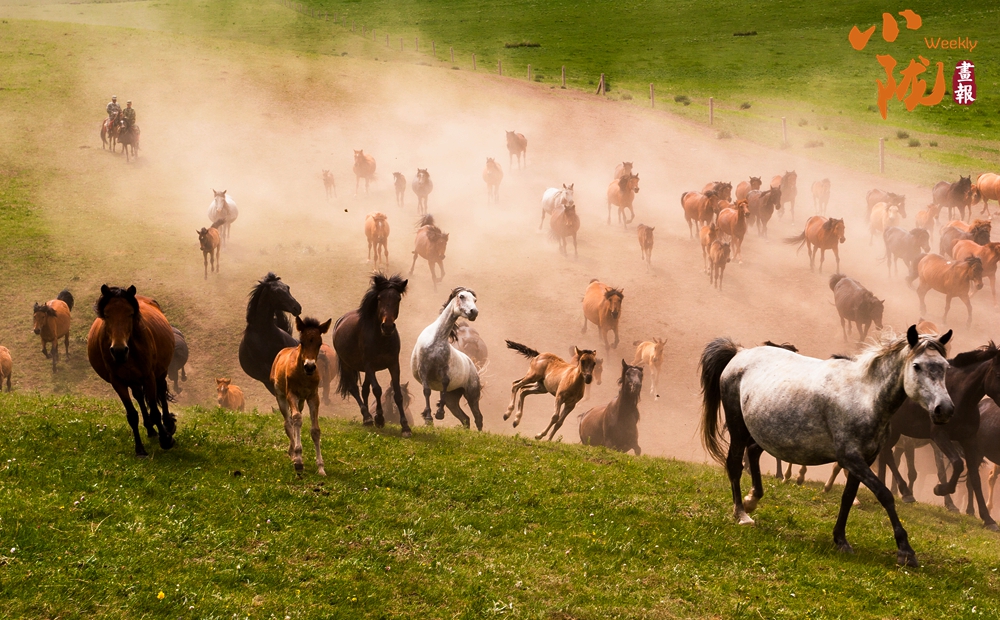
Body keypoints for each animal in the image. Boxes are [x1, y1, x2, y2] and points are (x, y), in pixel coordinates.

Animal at [87, 285, 178, 457]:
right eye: (106, 315)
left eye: (130, 314)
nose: (119, 351)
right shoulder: (118, 382)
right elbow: (132, 415)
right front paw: (140, 449)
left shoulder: (149, 377)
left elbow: (155, 410)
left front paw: (166, 439)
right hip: (134, 380)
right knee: (139, 397)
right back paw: (150, 429)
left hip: (159, 373)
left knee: (161, 393)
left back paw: (168, 425)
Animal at [333, 273, 411, 436]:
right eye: (380, 298)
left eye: (398, 299)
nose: (387, 326)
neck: (381, 337)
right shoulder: (369, 365)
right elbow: (377, 390)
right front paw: (379, 419)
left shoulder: (394, 364)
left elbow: (397, 394)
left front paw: (405, 427)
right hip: (347, 365)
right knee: (354, 389)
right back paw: (367, 417)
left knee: (364, 390)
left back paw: (367, 418)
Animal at [411, 288, 484, 429]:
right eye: (461, 296)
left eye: (475, 299)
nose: (474, 312)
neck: (435, 339)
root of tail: (472, 364)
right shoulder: (423, 370)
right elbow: (427, 391)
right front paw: (428, 419)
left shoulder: (443, 369)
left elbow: (445, 382)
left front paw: (439, 413)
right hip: (453, 399)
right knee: (465, 418)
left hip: (472, 395)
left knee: (478, 417)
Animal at [699, 326, 953, 566]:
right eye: (917, 366)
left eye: (945, 367)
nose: (945, 409)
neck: (865, 397)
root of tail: (740, 353)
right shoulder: (851, 458)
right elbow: (885, 494)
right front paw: (905, 551)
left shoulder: (864, 459)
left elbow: (848, 497)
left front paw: (840, 539)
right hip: (738, 428)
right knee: (734, 465)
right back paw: (741, 514)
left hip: (765, 431)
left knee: (753, 452)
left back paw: (752, 499)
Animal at [878, 342, 1000, 530]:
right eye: (998, 373)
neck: (960, 397)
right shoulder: (939, 436)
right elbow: (957, 464)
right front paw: (940, 489)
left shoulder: (969, 441)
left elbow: (974, 479)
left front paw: (988, 519)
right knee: (887, 455)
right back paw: (906, 492)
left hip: (895, 431)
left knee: (885, 454)